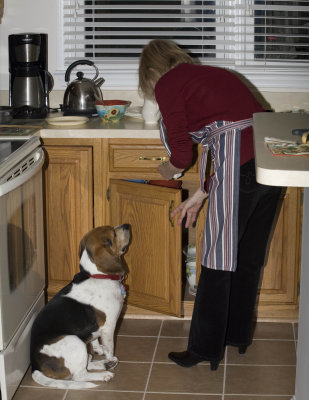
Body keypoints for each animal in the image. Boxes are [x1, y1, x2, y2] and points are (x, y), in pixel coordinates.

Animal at [31, 223, 131, 390]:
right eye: (113, 234)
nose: (127, 225)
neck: (98, 275)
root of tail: (34, 366)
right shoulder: (109, 327)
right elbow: (109, 347)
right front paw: (109, 355)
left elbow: (95, 340)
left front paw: (98, 349)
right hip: (74, 341)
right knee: (79, 375)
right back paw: (106, 371)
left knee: (88, 361)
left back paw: (104, 364)